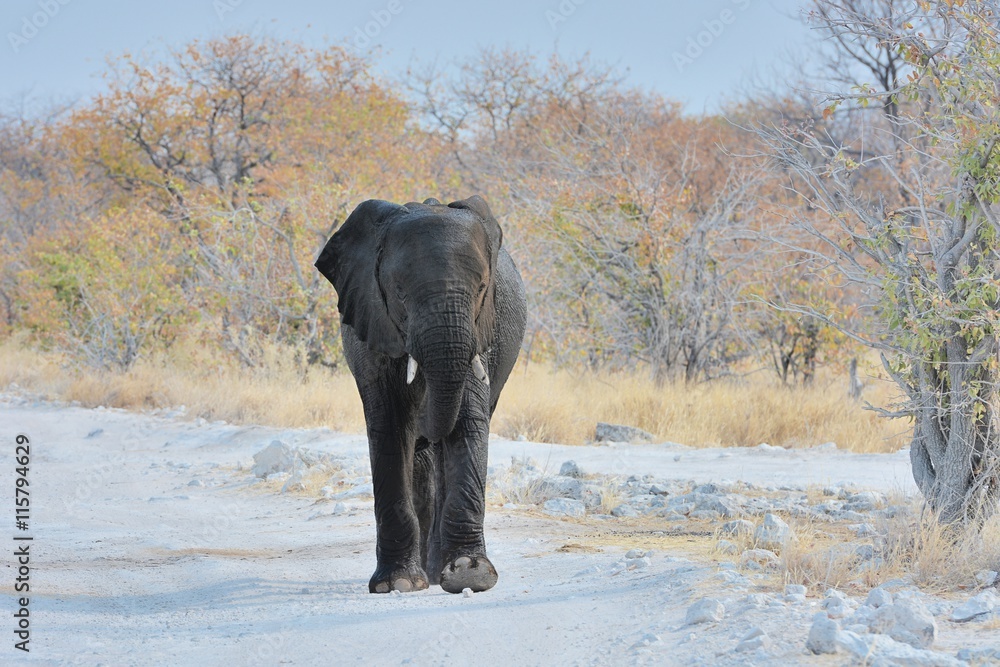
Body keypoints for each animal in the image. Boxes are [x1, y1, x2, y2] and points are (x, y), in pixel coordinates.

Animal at [314, 195, 526, 594]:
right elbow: (391, 429)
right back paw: (425, 575)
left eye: (481, 288)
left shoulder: (481, 334)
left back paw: (439, 571)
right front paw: (397, 584)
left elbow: (468, 421)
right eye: (399, 292)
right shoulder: (372, 327)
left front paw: (469, 576)